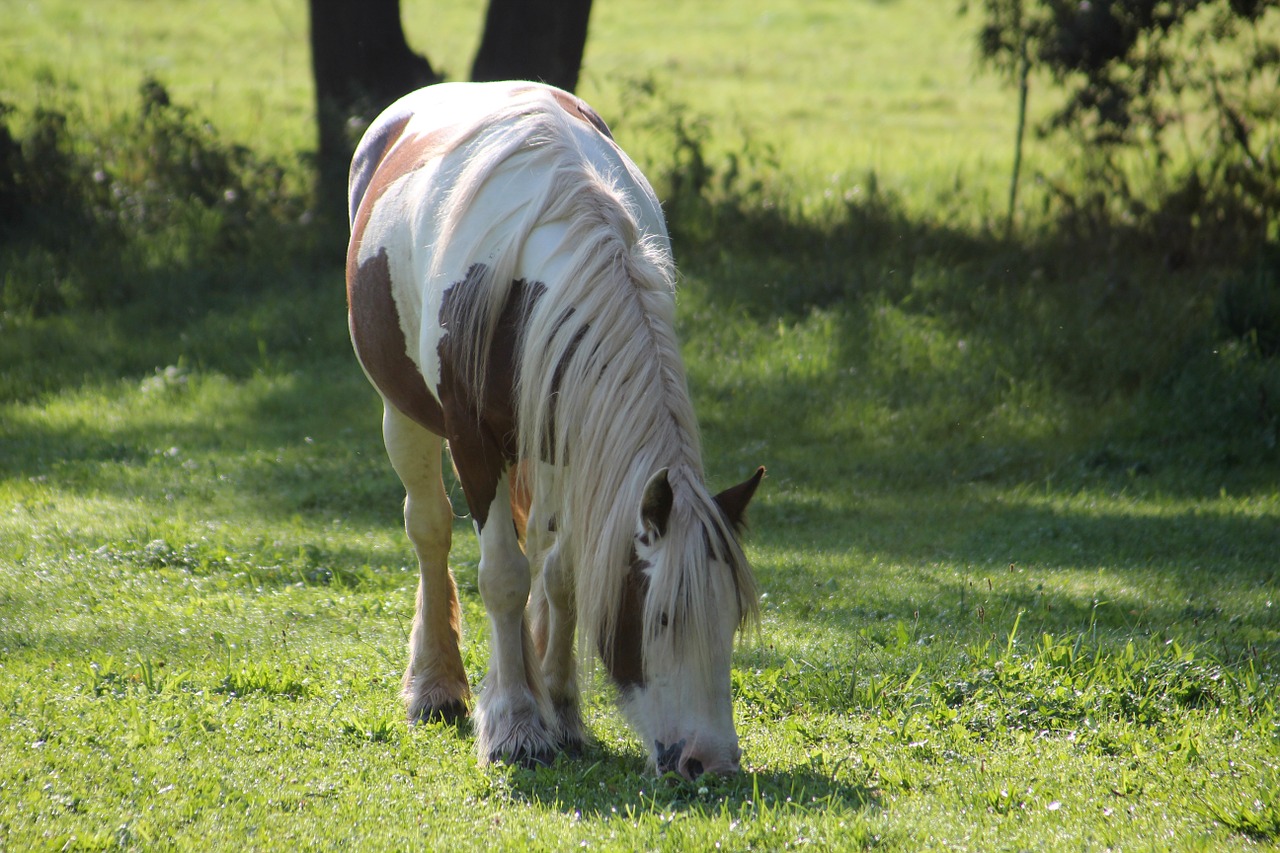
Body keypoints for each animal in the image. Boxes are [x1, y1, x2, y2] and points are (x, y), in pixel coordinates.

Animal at [345, 81, 757, 778]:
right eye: (663, 619)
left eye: (729, 619)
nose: (713, 761)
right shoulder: (473, 442)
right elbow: (502, 578)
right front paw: (515, 724)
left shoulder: (568, 437)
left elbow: (562, 575)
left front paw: (560, 710)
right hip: (403, 414)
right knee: (430, 530)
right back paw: (436, 685)